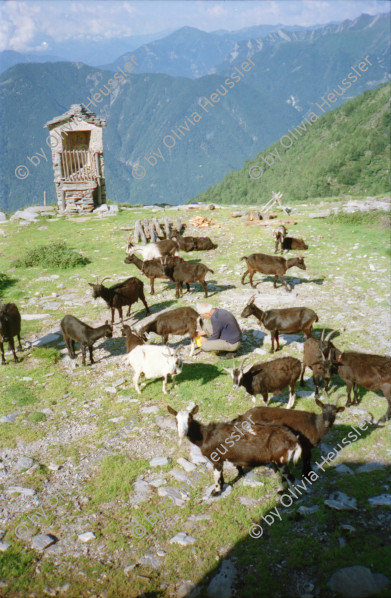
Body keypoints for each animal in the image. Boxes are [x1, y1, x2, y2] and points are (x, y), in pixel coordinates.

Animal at [168, 408, 304, 496]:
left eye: (190, 419)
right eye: (176, 420)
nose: (182, 433)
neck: (205, 436)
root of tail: (293, 439)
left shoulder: (216, 457)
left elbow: (216, 476)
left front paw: (216, 491)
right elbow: (224, 473)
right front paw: (222, 486)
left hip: (280, 459)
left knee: (291, 478)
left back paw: (291, 496)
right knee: (285, 477)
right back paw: (281, 490)